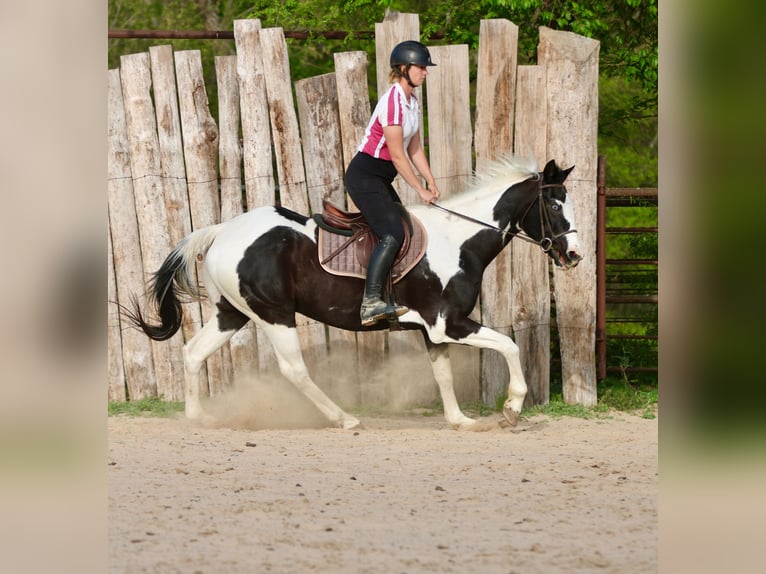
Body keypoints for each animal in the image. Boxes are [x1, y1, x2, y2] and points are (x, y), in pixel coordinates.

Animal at [124, 155, 582, 430]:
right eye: (554, 206)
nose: (574, 255)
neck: (460, 240)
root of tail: (223, 230)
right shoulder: (448, 323)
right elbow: (508, 345)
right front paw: (512, 407)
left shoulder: (432, 330)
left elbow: (443, 373)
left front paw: (459, 420)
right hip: (275, 314)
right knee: (294, 370)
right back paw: (344, 419)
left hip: (230, 314)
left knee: (192, 353)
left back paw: (198, 417)